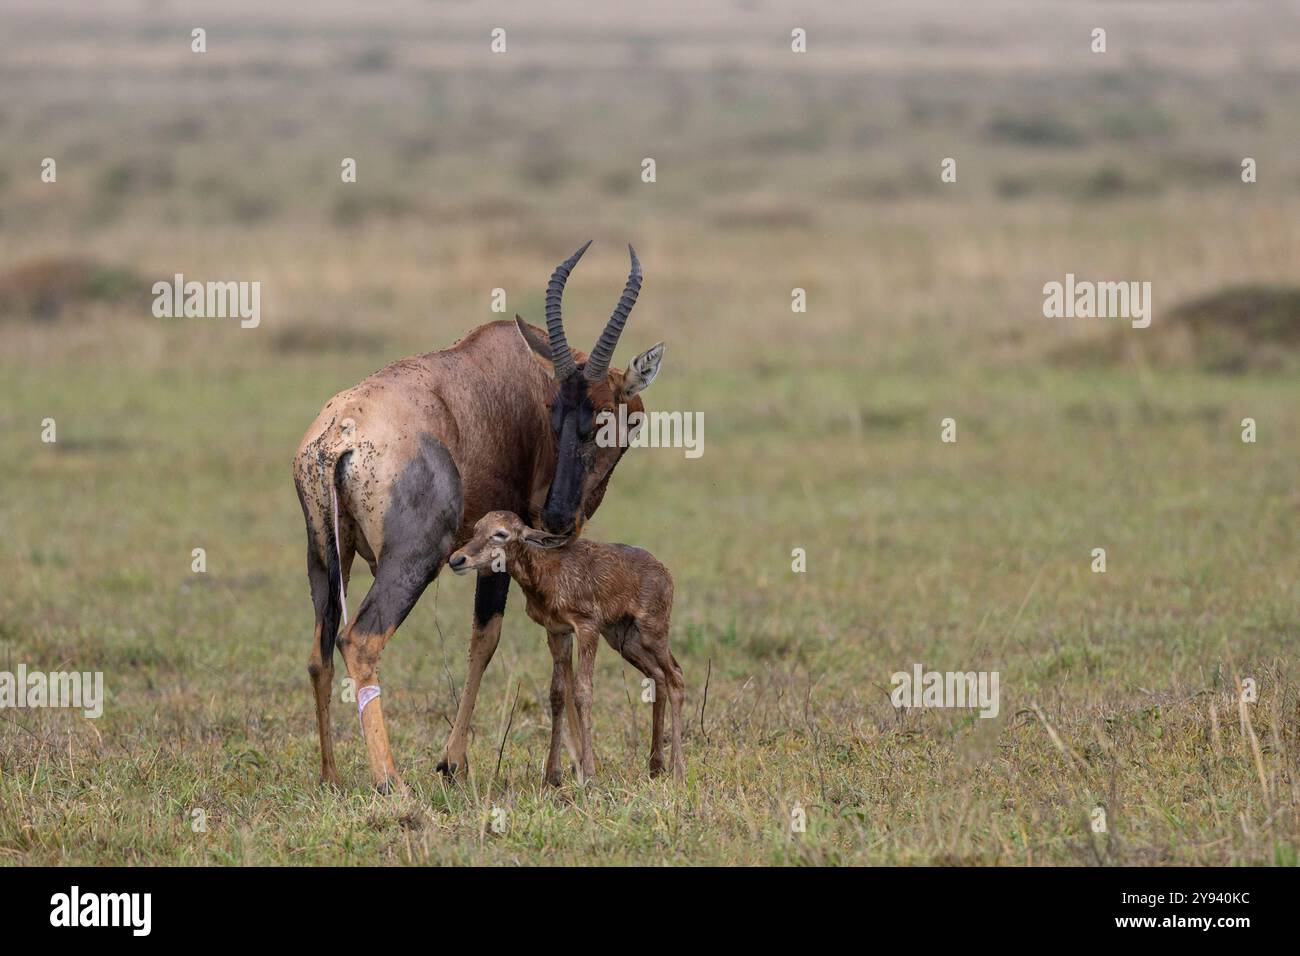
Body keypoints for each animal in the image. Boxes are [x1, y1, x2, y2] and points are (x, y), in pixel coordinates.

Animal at [452, 512, 686, 780]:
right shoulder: (557, 630)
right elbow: (557, 693)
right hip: (624, 639)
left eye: (500, 533)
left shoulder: (587, 626)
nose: (457, 559)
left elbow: (583, 691)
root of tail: (666, 573)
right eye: (476, 528)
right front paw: (552, 776)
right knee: (658, 675)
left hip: (652, 630)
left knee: (676, 675)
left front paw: (590, 774)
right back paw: (656, 765)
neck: (543, 575)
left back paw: (678, 769)